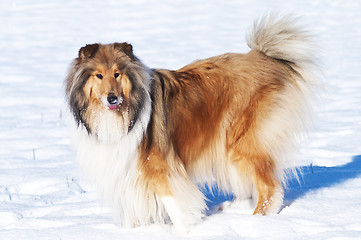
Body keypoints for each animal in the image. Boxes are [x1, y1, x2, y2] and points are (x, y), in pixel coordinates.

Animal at [64, 14, 318, 234]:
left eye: (117, 74)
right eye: (99, 75)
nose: (112, 99)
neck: (123, 115)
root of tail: (263, 56)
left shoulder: (161, 167)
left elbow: (175, 206)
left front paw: (183, 233)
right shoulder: (125, 171)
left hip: (243, 143)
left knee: (270, 188)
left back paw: (257, 223)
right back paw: (233, 209)